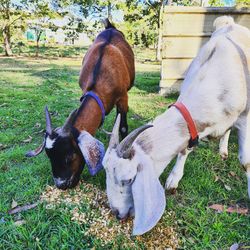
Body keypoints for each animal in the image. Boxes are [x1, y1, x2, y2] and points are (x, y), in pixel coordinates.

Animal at [26, 19, 135, 189]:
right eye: (49, 156)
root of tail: (110, 26)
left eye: (70, 156)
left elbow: (123, 127)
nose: (62, 185)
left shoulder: (123, 96)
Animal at [101, 16, 250, 235]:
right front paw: (173, 181)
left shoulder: (246, 117)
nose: (117, 213)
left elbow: (245, 161)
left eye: (128, 179)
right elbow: (185, 149)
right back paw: (223, 150)